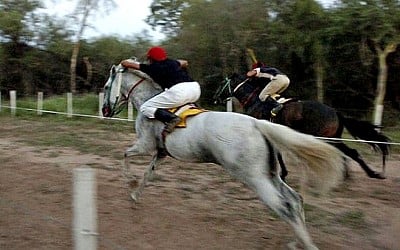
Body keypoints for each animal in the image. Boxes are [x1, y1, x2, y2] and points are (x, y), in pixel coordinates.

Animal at [102, 61, 346, 250]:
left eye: (106, 86)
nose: (105, 111)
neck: (149, 102)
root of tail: (258, 124)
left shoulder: (145, 146)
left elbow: (125, 156)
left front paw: (130, 184)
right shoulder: (160, 154)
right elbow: (147, 175)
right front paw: (135, 196)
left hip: (255, 178)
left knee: (283, 206)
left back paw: (305, 243)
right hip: (270, 174)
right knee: (295, 200)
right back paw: (297, 241)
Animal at [214, 73, 392, 181]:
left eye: (222, 84)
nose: (215, 98)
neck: (254, 101)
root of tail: (335, 112)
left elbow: (275, 153)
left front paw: (281, 173)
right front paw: (282, 173)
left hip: (326, 137)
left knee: (349, 153)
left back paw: (366, 174)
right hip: (333, 138)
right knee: (350, 153)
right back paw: (353, 176)